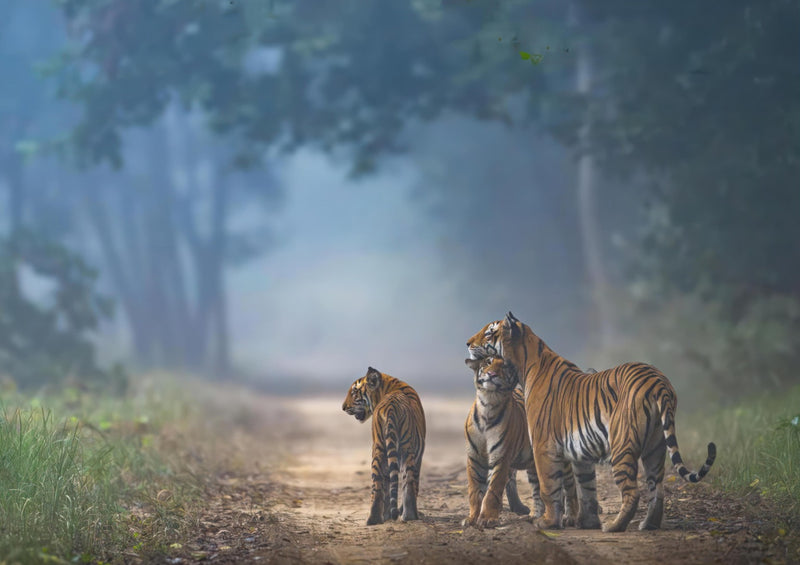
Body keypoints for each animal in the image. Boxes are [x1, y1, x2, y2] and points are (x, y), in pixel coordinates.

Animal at [342, 366, 426, 525]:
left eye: (354, 392)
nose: (343, 407)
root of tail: (391, 406)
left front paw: (388, 515)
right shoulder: (419, 455)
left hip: (380, 449)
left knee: (380, 485)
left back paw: (375, 519)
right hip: (403, 449)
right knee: (405, 483)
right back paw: (409, 516)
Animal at [466, 312, 717, 533]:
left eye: (489, 333)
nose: (468, 342)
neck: (526, 363)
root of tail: (658, 381)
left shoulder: (542, 445)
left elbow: (549, 486)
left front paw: (548, 522)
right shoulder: (579, 452)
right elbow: (586, 488)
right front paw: (587, 523)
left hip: (622, 444)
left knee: (633, 492)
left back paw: (614, 527)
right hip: (655, 447)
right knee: (657, 489)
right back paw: (649, 525)